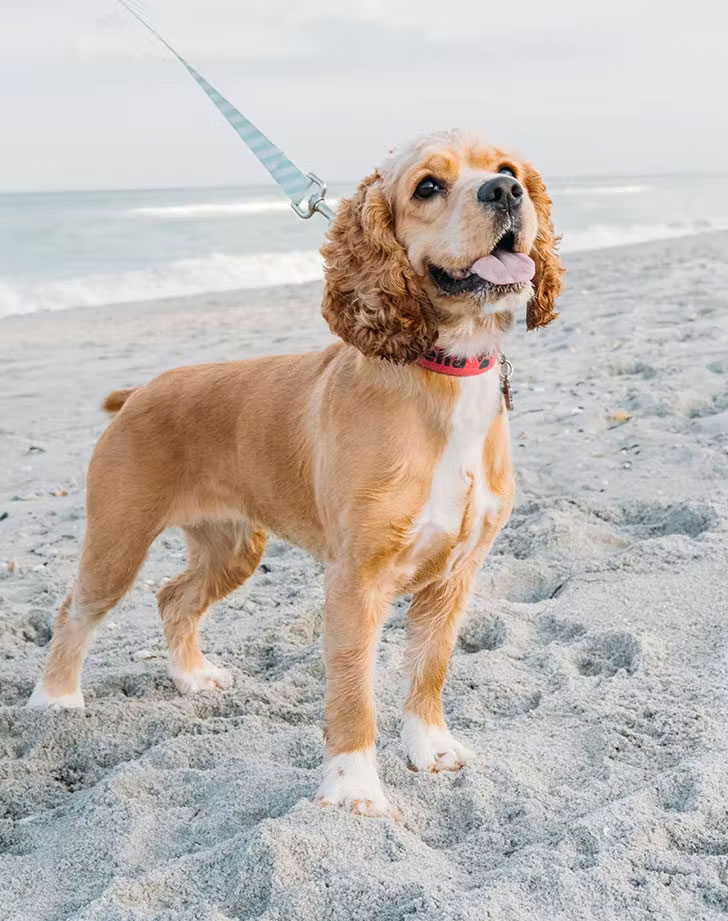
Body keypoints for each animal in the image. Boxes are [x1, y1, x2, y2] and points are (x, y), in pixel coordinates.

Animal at [28, 131, 564, 820]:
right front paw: (355, 789)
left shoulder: (454, 575)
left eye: (506, 168)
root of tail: (142, 390)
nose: (504, 192)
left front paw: (431, 748)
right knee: (76, 609)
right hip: (118, 540)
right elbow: (354, 693)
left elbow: (430, 669)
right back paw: (55, 700)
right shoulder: (355, 581)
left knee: (174, 597)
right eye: (427, 187)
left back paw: (193, 677)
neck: (444, 368)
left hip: (232, 548)